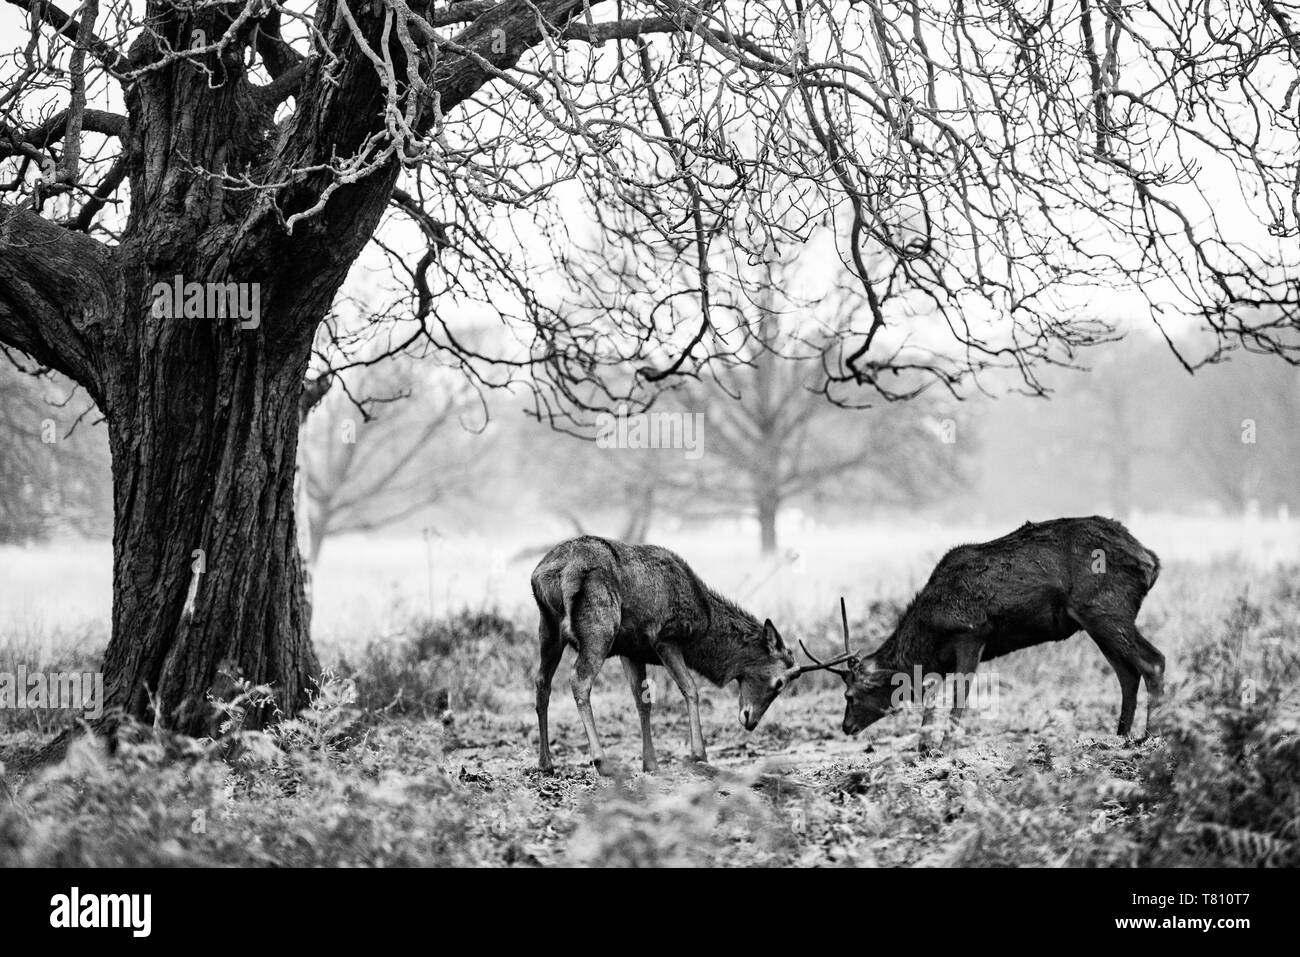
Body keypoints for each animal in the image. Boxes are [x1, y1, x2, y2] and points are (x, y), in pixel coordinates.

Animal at [531, 536, 826, 775]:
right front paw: (699, 754)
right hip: (599, 627)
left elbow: (643, 701)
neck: (704, 623)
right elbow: (691, 689)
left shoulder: (631, 649)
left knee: (542, 682)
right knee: (579, 680)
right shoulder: (666, 638)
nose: (750, 721)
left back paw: (546, 763)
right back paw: (601, 760)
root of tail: (553, 573)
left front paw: (651, 763)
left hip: (548, 628)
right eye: (779, 683)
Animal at [799, 517, 1166, 749]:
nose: (845, 727)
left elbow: (960, 695)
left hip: (1106, 608)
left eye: (849, 695)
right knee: (1127, 673)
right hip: (1096, 619)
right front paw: (927, 745)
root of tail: (1151, 560)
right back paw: (1120, 735)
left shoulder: (971, 633)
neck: (930, 640)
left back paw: (1151, 736)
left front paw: (946, 744)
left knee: (1153, 661)